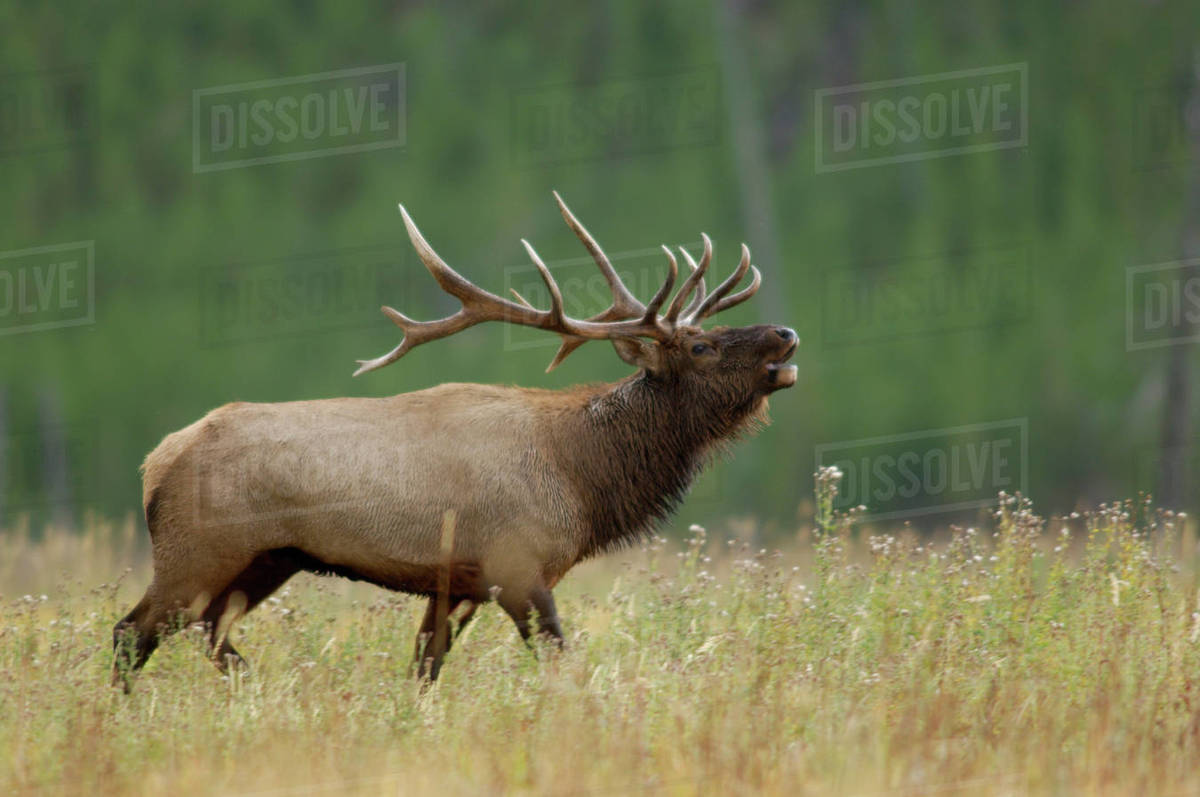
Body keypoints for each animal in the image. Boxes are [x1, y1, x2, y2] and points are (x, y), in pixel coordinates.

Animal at [111, 192, 797, 689]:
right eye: (701, 347)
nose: (786, 335)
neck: (582, 478)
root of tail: (153, 464)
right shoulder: (516, 567)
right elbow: (557, 658)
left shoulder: (458, 583)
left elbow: (424, 670)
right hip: (195, 553)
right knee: (131, 632)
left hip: (265, 561)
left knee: (209, 634)